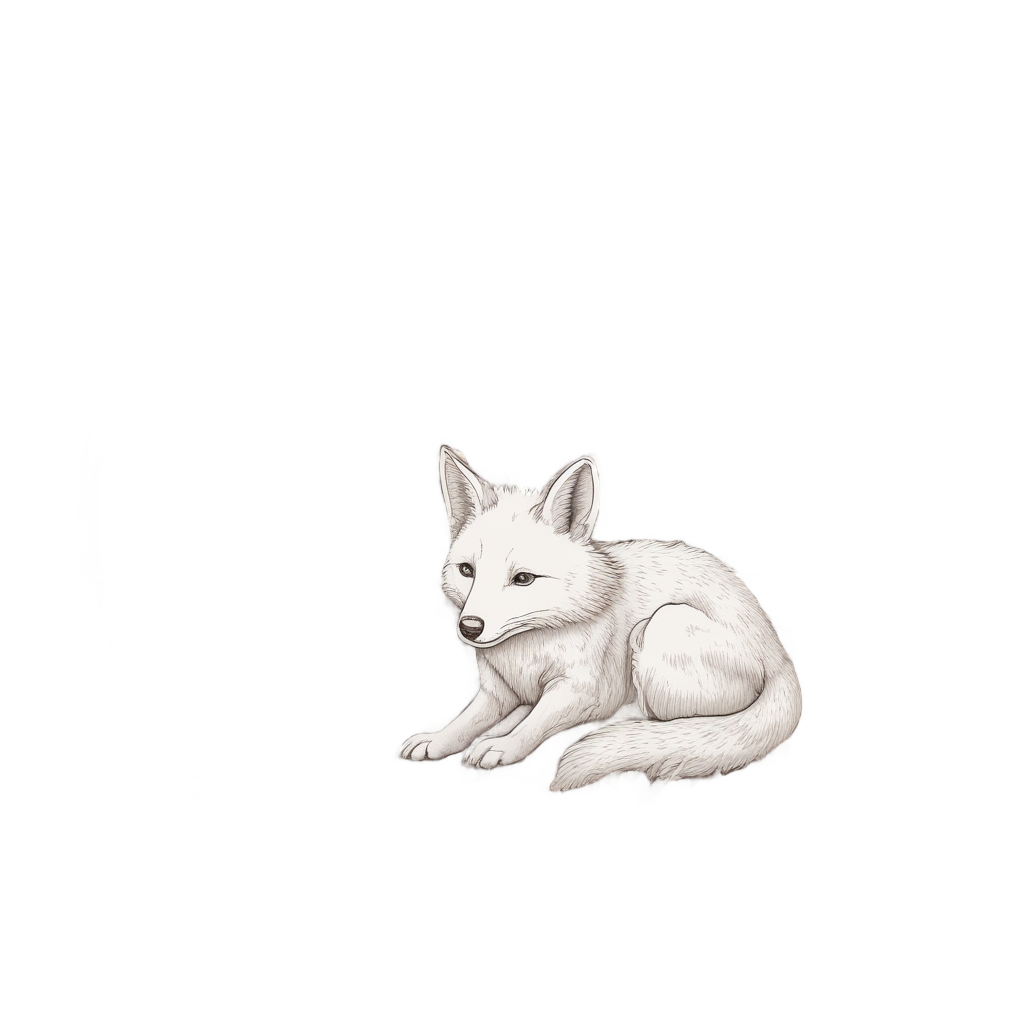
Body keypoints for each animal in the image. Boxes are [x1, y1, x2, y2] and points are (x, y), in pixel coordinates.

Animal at [398, 446, 802, 791]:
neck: (529, 647)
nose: (469, 628)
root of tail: (778, 656)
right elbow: (465, 721)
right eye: (467, 571)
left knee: (667, 717)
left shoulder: (581, 690)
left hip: (658, 625)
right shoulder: (497, 691)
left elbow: (537, 722)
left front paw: (505, 745)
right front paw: (436, 740)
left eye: (523, 579)